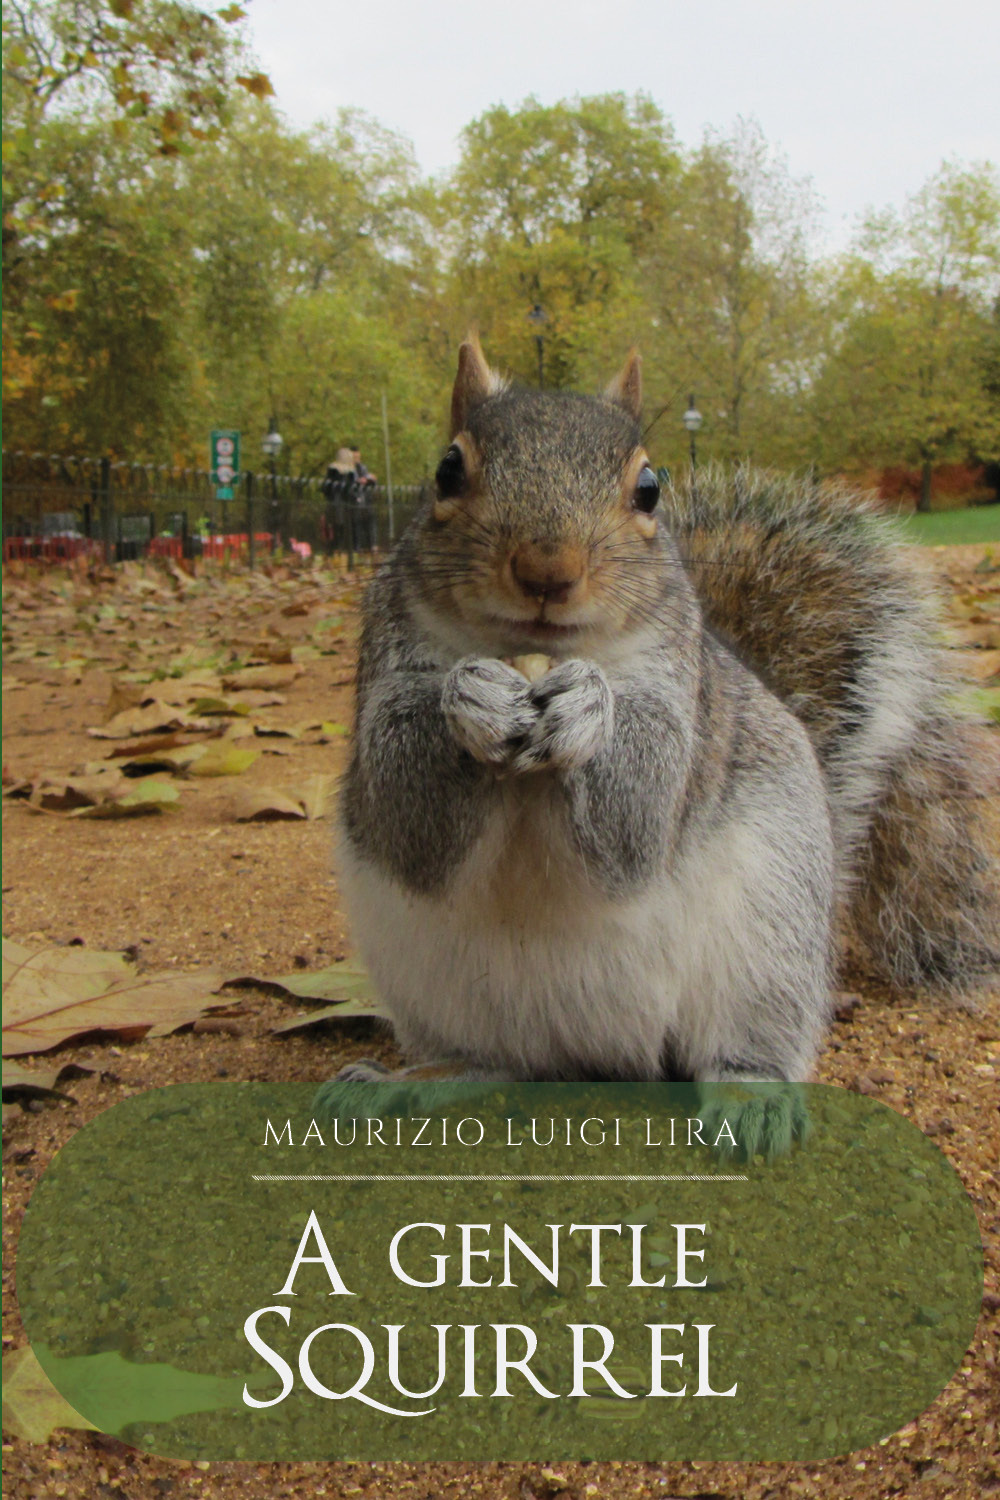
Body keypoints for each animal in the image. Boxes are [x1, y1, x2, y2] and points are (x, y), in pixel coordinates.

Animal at [332, 337, 999, 1147]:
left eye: (649, 489)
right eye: (447, 471)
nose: (547, 570)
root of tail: (598, 1052)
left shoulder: (680, 695)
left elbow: (639, 819)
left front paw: (591, 708)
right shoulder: (384, 664)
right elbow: (406, 818)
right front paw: (473, 696)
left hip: (769, 943)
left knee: (747, 1039)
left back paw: (752, 1094)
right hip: (428, 981)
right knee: (496, 1060)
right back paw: (415, 1080)